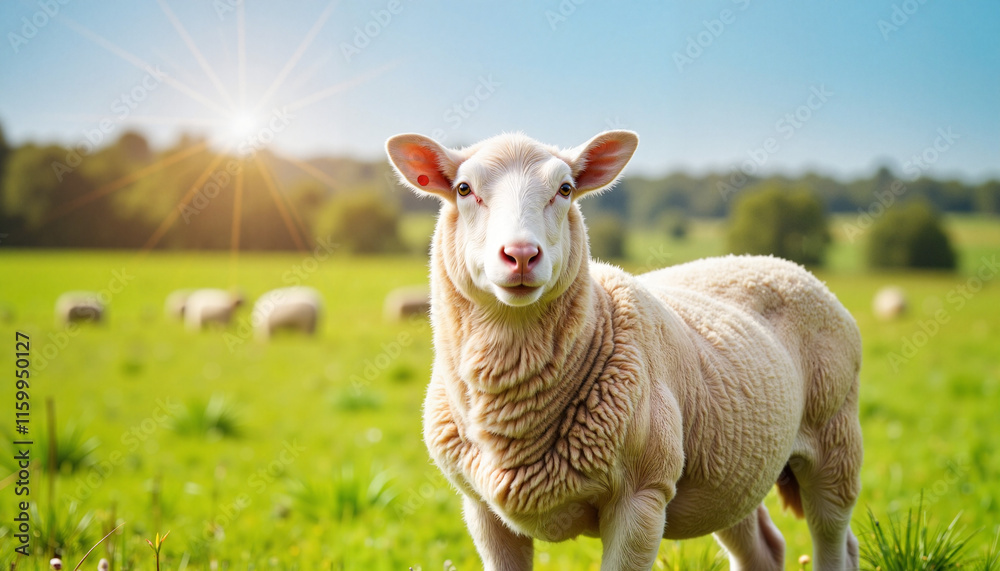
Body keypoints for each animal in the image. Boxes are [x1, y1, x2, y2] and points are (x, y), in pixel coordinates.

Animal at [385, 130, 863, 571]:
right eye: (464, 189)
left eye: (565, 189)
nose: (520, 255)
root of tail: (774, 261)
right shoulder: (483, 510)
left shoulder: (642, 497)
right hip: (731, 467)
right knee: (764, 549)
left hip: (835, 438)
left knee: (834, 538)